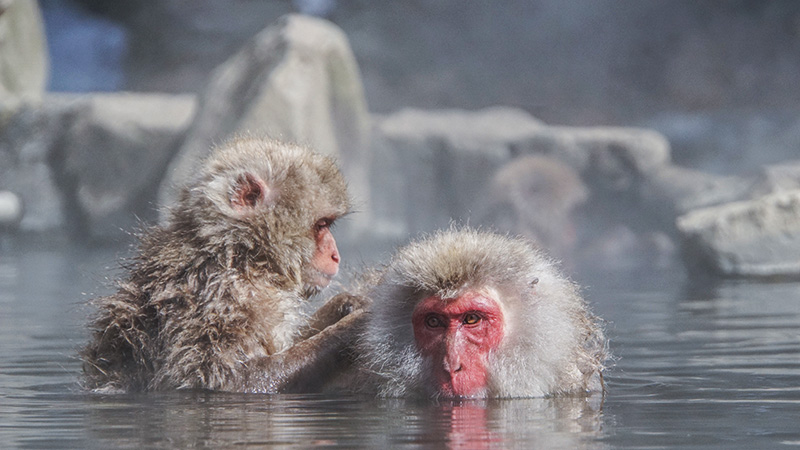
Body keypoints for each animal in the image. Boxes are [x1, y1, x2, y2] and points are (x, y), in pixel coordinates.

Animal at [81, 137, 368, 393]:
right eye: (321, 225)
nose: (335, 255)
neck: (236, 256)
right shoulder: (216, 301)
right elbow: (227, 381)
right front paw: (353, 326)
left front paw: (344, 305)